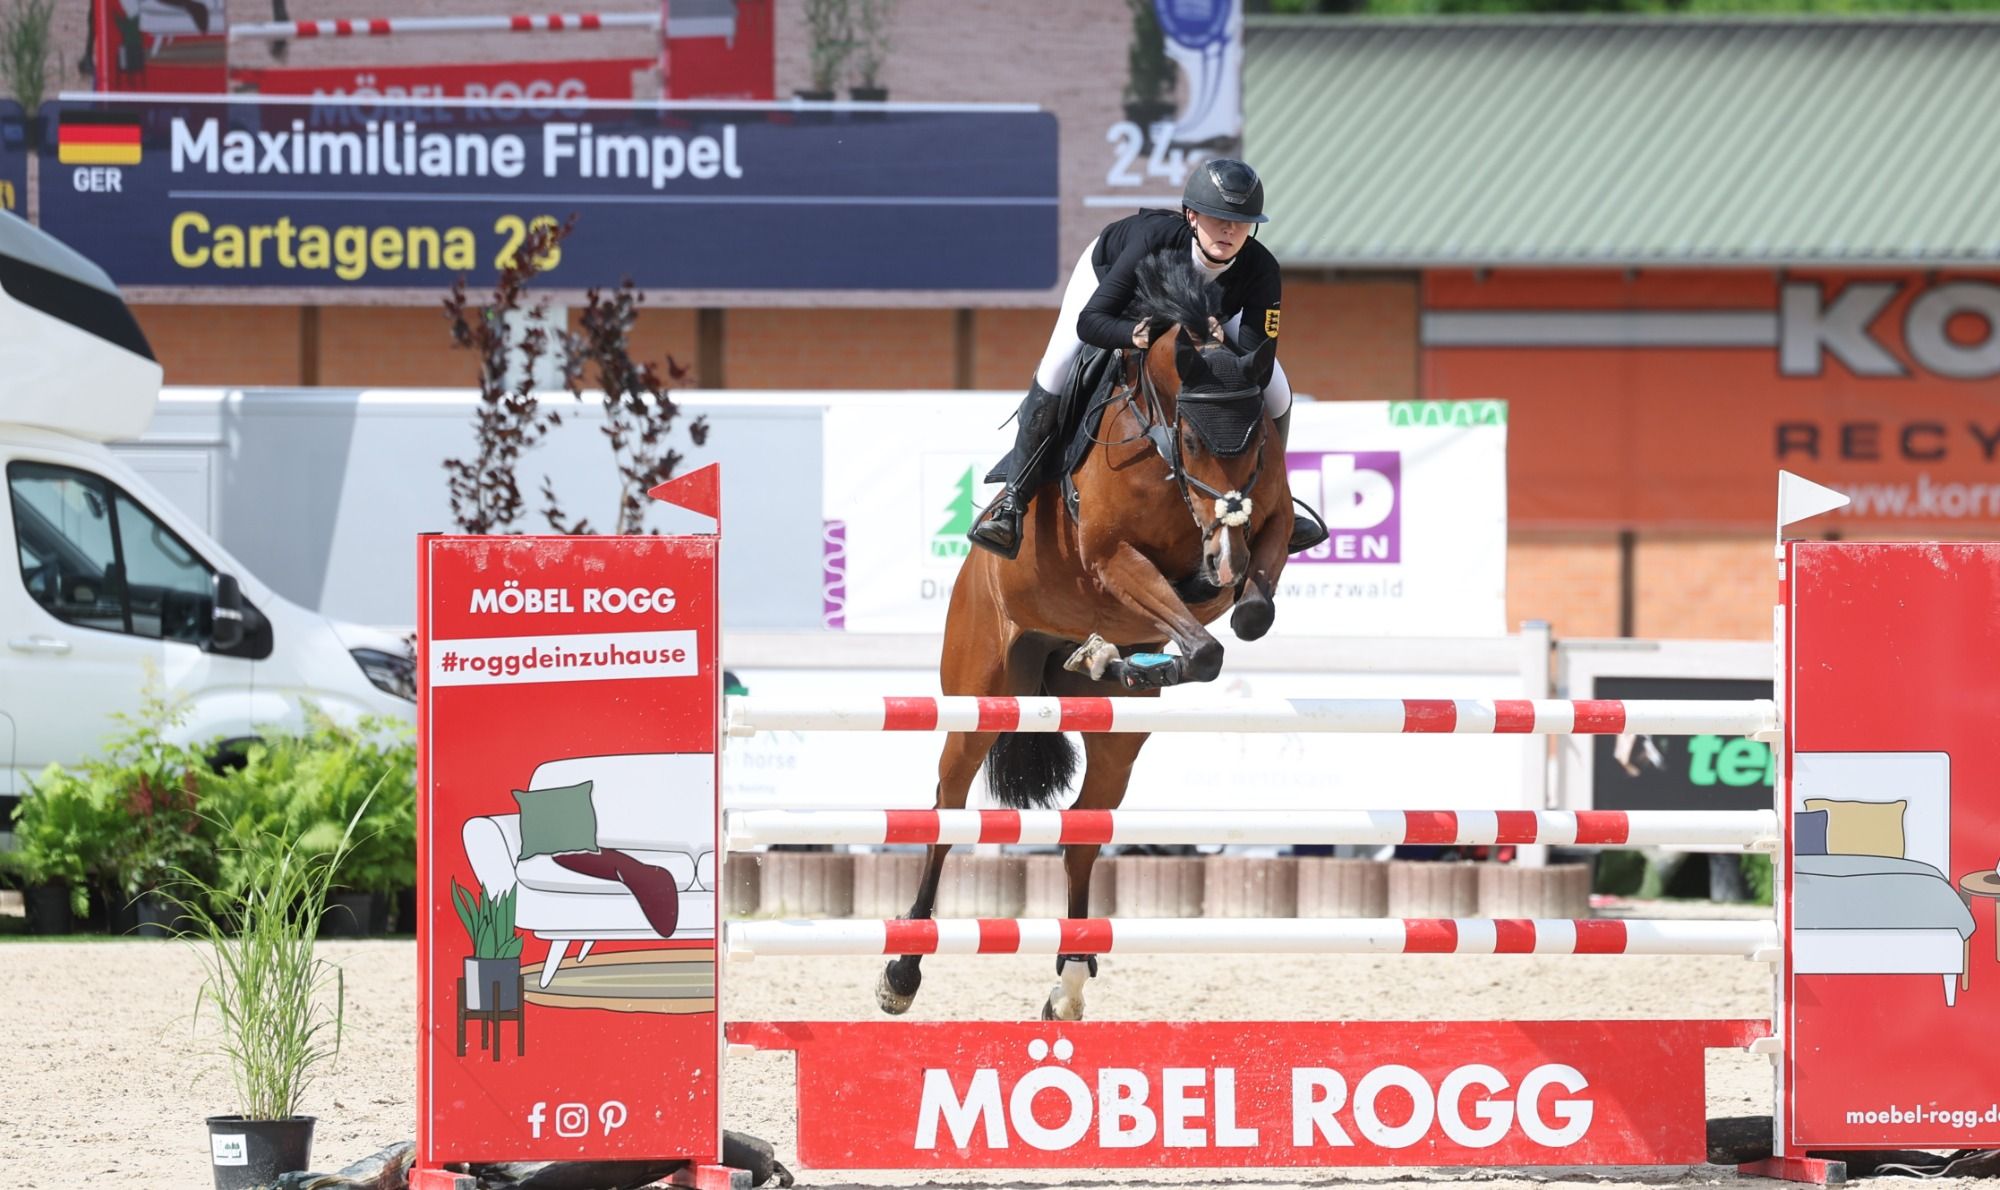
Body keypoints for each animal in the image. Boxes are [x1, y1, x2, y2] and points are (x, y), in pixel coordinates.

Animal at [878, 250, 1295, 1021]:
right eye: (1194, 437)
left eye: (1255, 437)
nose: (1225, 532)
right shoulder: (1111, 556)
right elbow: (1205, 636)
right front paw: (1144, 649)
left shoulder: (1268, 525)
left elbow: (1241, 614)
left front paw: (1133, 653)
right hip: (978, 700)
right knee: (946, 814)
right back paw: (902, 970)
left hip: (1117, 742)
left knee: (1082, 832)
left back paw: (1069, 976)